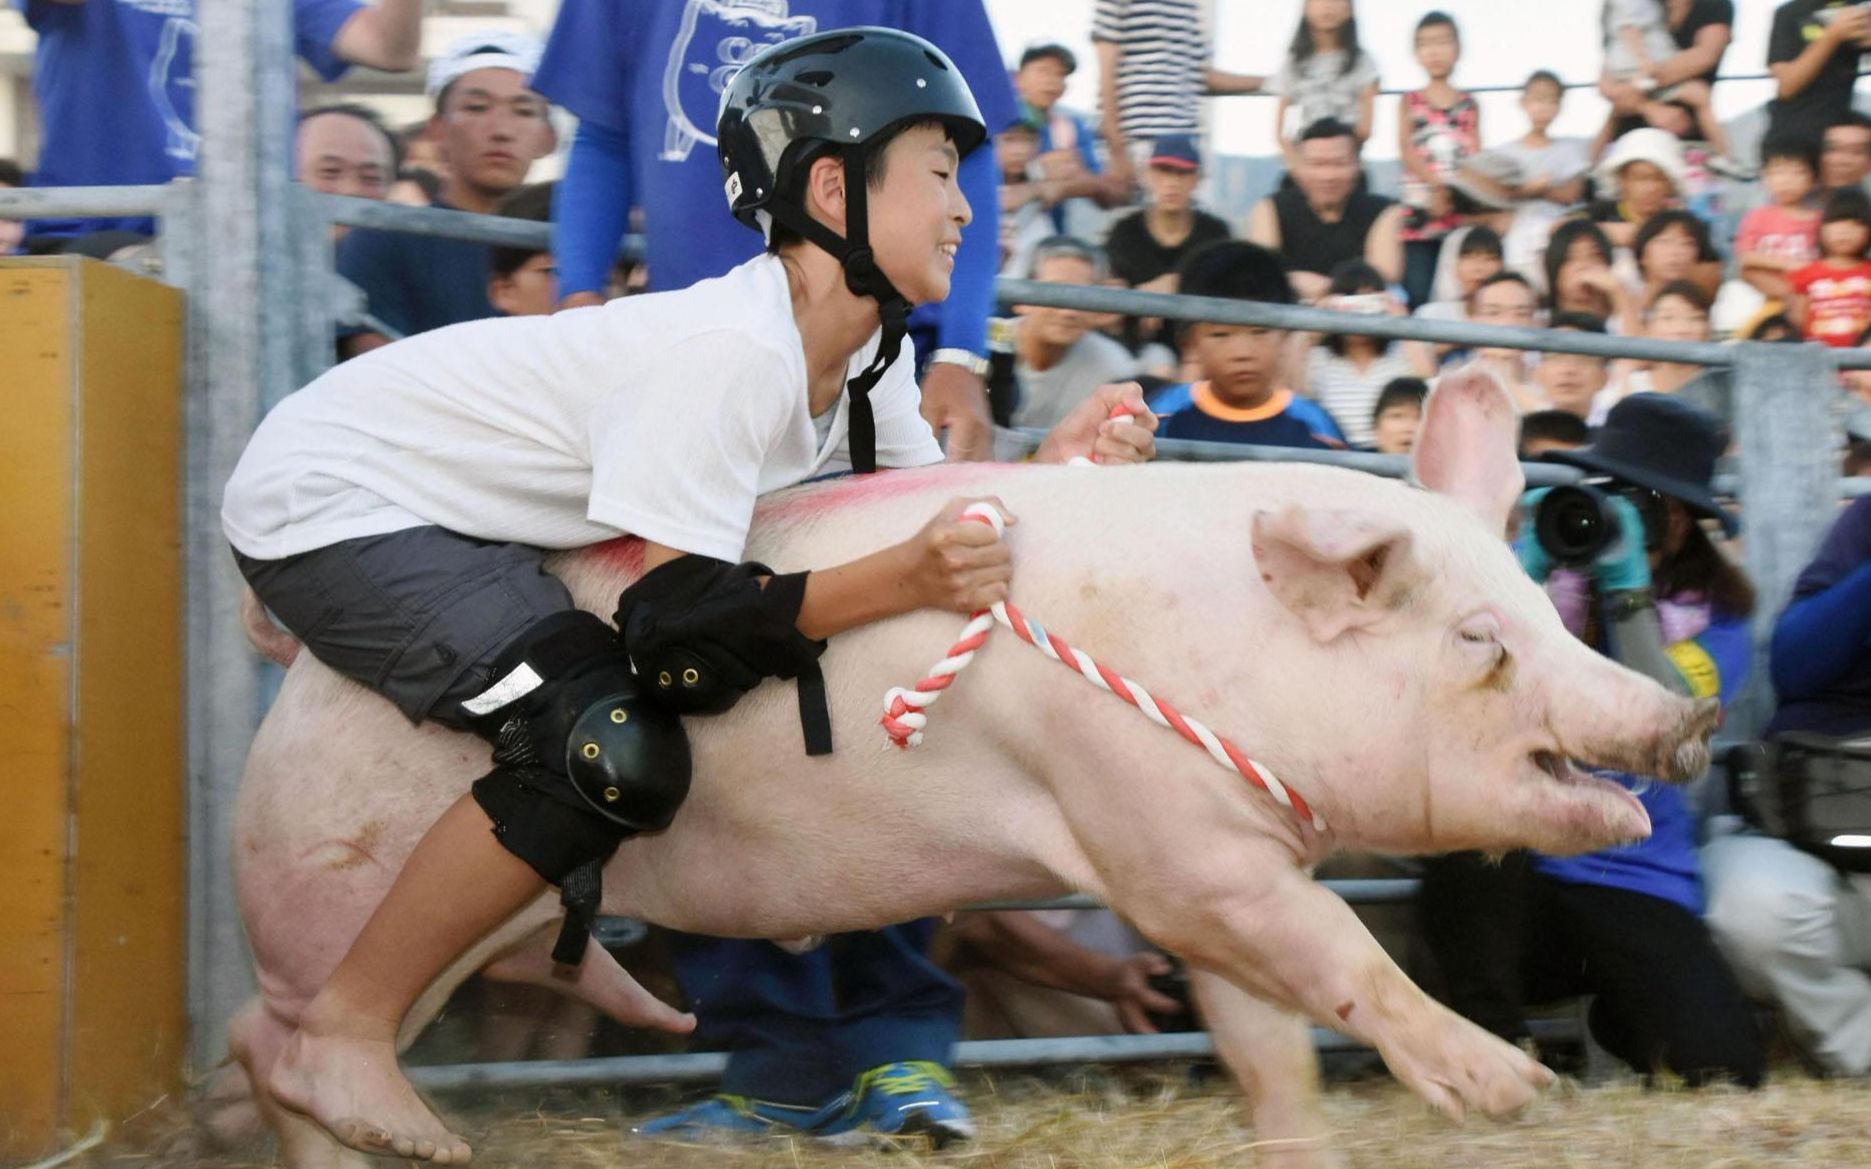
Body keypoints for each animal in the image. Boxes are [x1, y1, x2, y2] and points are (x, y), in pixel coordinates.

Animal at [226, 366, 1713, 1167]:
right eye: (1476, 639)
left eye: (1536, 605)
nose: (1676, 720)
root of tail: (287, 675)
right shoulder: (1168, 845)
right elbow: (1343, 951)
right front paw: (1510, 1088)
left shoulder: (1217, 866)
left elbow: (1267, 1038)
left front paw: (1308, 1136)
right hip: (328, 875)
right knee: (280, 1032)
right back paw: (386, 1127)